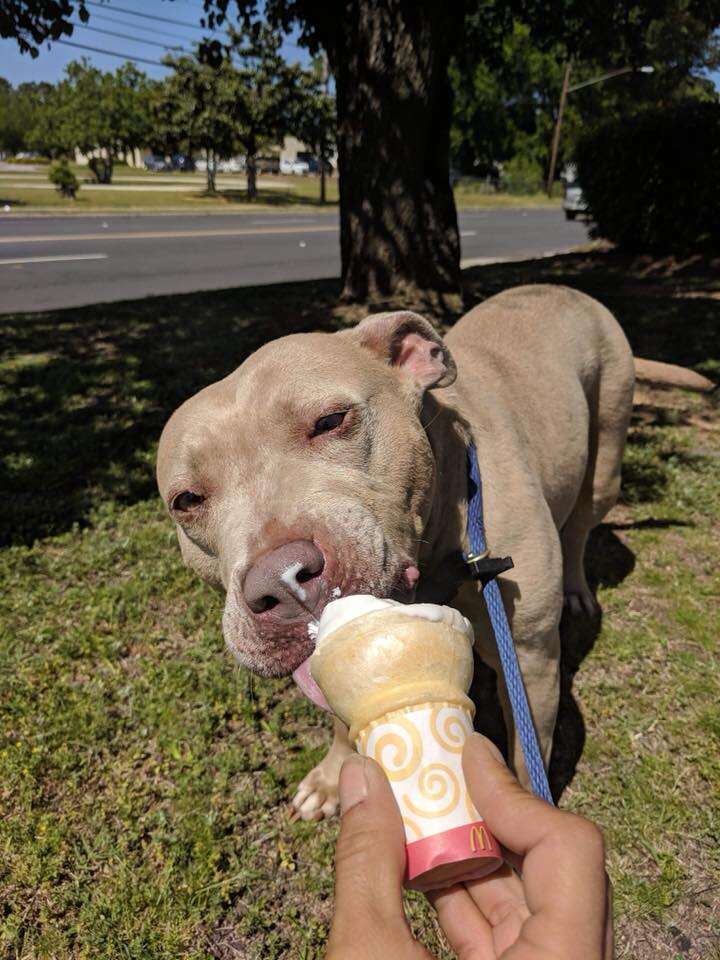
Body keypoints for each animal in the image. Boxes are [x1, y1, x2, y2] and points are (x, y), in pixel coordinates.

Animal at [156, 284, 708, 816]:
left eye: (331, 420)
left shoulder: (530, 660)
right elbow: (344, 710)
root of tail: (565, 289)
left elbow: (527, 758)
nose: (282, 581)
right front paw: (333, 776)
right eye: (186, 500)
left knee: (580, 526)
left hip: (608, 452)